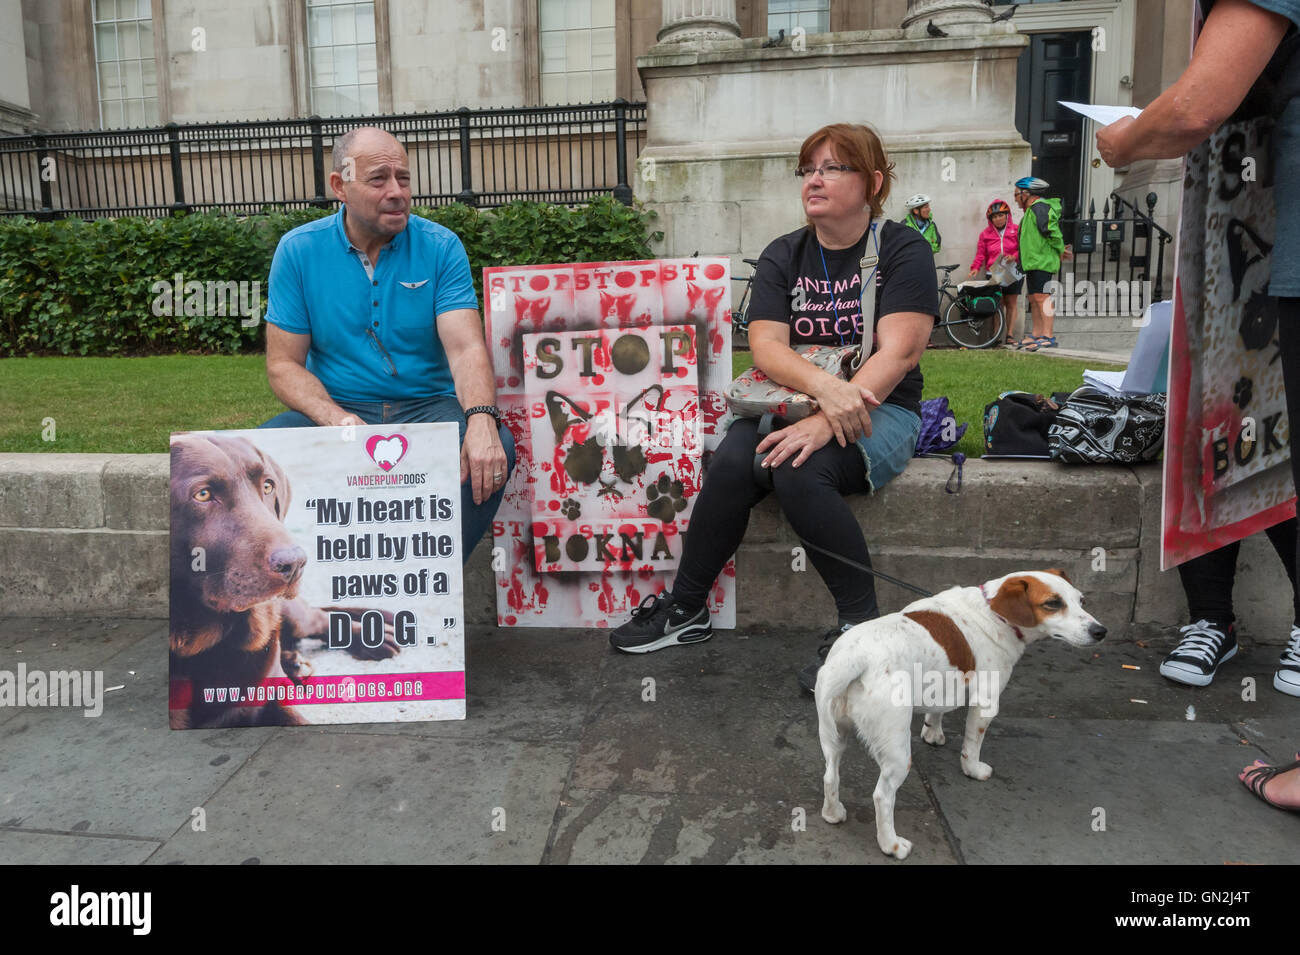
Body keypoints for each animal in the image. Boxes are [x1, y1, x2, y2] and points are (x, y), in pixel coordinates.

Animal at [811, 571, 1107, 862]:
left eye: (1081, 600)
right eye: (1053, 603)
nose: (1100, 631)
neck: (993, 612)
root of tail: (855, 658)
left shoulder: (942, 685)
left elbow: (937, 711)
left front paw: (933, 732)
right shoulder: (986, 702)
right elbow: (972, 745)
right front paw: (973, 769)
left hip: (832, 735)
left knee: (830, 776)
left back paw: (833, 813)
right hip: (897, 753)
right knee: (882, 796)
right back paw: (891, 845)